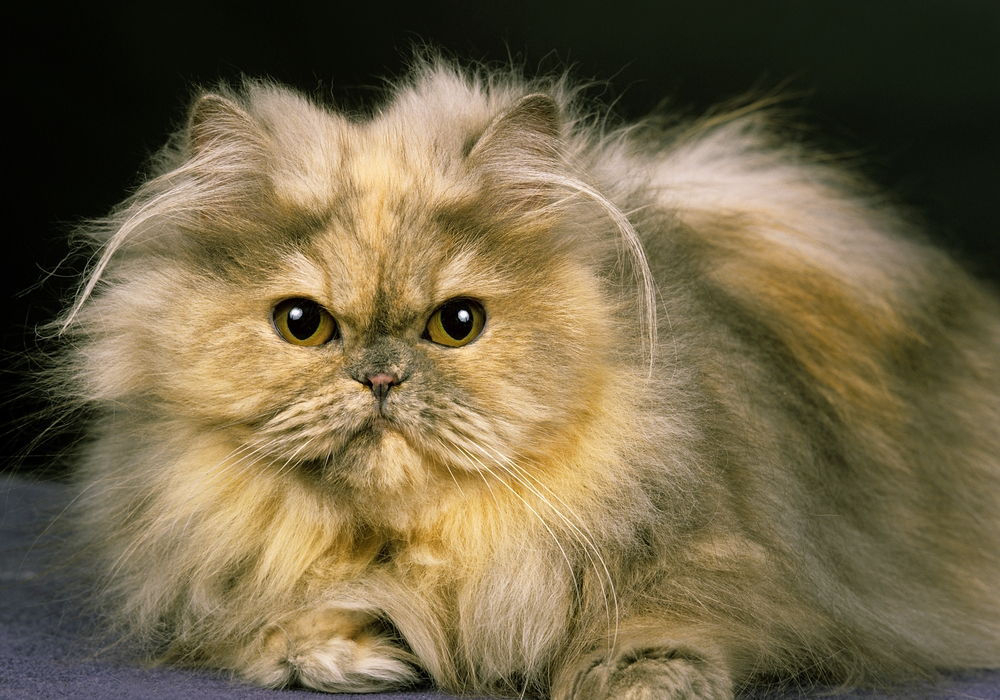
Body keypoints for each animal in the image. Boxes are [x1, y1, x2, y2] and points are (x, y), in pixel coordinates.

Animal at [50, 57, 1000, 696]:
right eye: (303, 324)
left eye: (456, 324)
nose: (382, 378)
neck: (431, 555)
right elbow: (282, 625)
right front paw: (359, 656)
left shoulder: (740, 569)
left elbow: (671, 627)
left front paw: (638, 680)